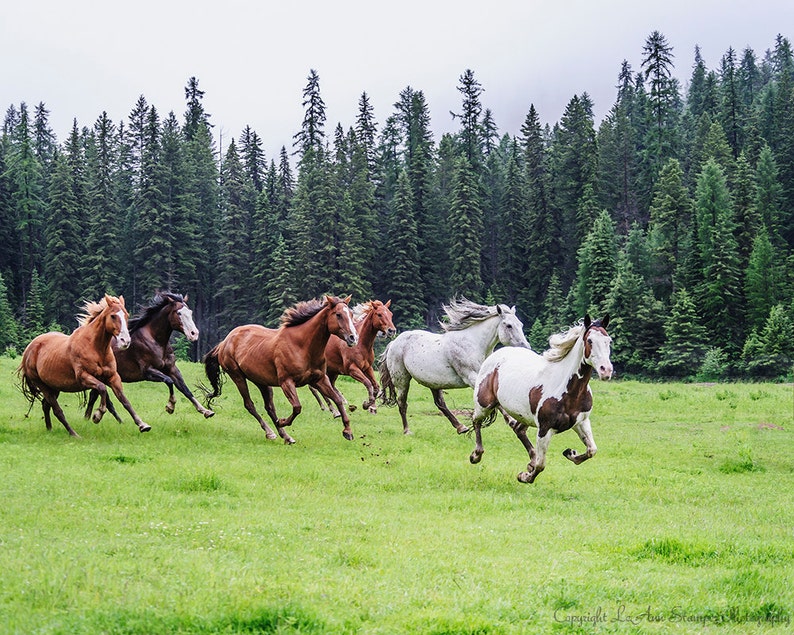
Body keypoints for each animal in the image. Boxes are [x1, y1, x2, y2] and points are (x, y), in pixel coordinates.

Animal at [17, 294, 151, 437]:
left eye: (126, 315)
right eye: (113, 316)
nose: (125, 341)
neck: (95, 348)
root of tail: (28, 350)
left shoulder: (113, 377)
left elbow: (124, 400)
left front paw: (143, 425)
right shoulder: (84, 377)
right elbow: (102, 388)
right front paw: (97, 415)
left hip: (53, 387)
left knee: (46, 406)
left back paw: (49, 429)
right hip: (43, 386)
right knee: (57, 410)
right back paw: (74, 434)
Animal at [83, 292, 214, 421]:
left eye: (190, 312)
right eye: (179, 313)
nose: (194, 334)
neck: (155, 340)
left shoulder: (171, 369)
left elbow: (185, 389)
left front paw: (206, 411)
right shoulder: (148, 372)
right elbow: (169, 381)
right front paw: (170, 406)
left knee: (95, 395)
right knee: (95, 396)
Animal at [202, 295, 359, 444]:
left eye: (351, 313)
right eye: (338, 314)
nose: (353, 338)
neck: (302, 346)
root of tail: (224, 342)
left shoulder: (319, 379)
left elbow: (338, 399)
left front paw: (348, 431)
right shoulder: (286, 382)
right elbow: (297, 407)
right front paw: (282, 421)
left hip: (261, 381)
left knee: (269, 407)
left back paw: (286, 437)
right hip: (237, 376)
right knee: (249, 405)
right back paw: (271, 432)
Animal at [379, 297, 530, 435]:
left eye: (521, 324)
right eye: (509, 325)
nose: (526, 348)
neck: (474, 344)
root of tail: (394, 343)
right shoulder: (471, 377)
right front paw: (512, 420)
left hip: (433, 382)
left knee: (440, 404)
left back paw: (461, 427)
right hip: (402, 380)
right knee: (402, 403)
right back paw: (407, 430)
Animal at [469, 315, 613, 484]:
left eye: (608, 341)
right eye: (590, 341)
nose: (606, 371)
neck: (569, 390)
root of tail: (496, 353)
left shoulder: (581, 422)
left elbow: (592, 450)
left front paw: (570, 453)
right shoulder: (545, 429)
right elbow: (541, 464)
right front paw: (524, 476)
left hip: (523, 416)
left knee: (518, 429)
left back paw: (529, 461)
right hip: (484, 404)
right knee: (476, 420)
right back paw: (476, 455)